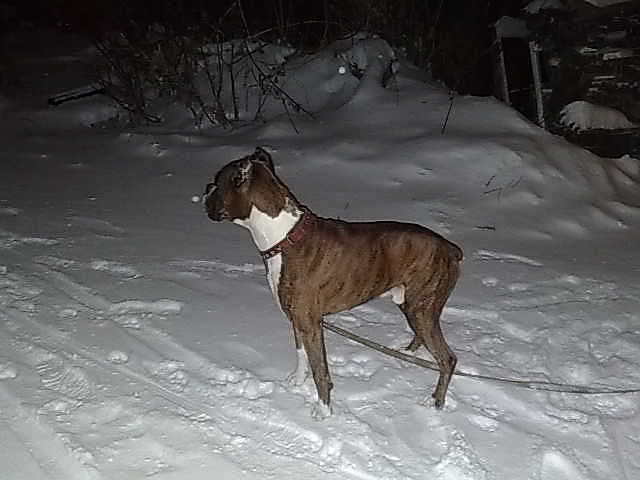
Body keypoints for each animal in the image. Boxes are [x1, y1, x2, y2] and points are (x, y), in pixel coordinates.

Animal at [203, 147, 463, 417]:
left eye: (218, 184)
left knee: (447, 359)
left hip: (420, 308)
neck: (284, 237)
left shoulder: (309, 323)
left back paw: (435, 401)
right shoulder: (297, 319)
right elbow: (301, 353)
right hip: (414, 306)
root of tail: (451, 249)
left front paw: (324, 409)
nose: (205, 191)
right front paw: (298, 381)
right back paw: (407, 353)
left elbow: (320, 369)